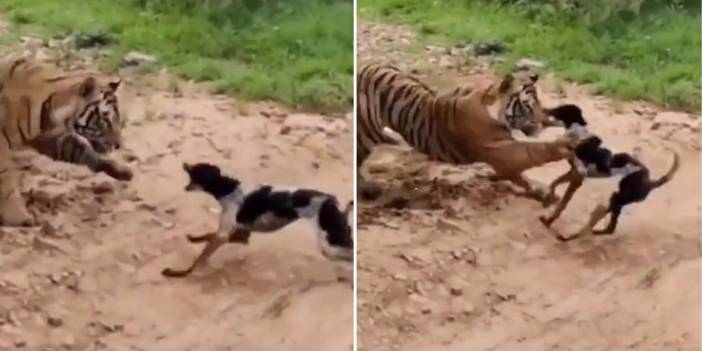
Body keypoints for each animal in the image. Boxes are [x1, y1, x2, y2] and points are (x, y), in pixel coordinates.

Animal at [0, 57, 131, 228]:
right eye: (105, 119)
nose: (118, 145)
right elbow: (6, 180)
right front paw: (18, 216)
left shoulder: (54, 139)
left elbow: (84, 151)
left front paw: (120, 170)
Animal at [162, 163, 354, 284]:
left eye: (195, 171)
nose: (184, 163)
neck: (228, 188)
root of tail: (330, 199)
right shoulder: (240, 234)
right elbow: (208, 236)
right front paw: (194, 238)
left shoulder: (225, 235)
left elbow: (200, 258)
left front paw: (178, 273)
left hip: (330, 246)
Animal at [358, 62, 576, 202]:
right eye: (527, 106)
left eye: (538, 103)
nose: (538, 123)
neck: (492, 104)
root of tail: (365, 67)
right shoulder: (502, 151)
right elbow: (534, 152)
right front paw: (566, 144)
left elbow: (522, 176)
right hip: (369, 132)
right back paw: (367, 189)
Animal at [540, 104, 680, 242]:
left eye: (560, 108)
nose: (544, 109)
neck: (580, 132)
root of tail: (650, 182)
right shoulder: (574, 173)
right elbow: (554, 183)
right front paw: (548, 200)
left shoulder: (578, 176)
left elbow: (562, 203)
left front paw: (550, 217)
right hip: (614, 202)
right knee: (609, 228)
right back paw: (588, 233)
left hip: (612, 200)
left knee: (597, 227)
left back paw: (571, 236)